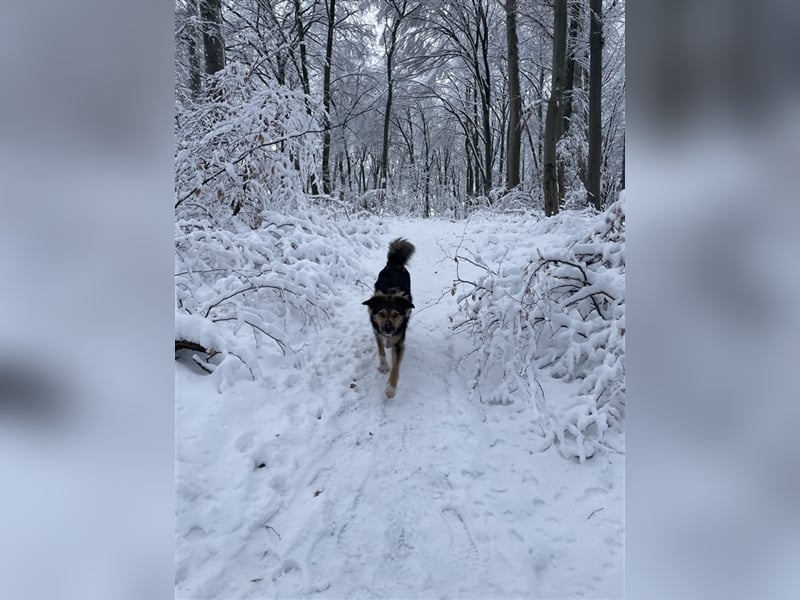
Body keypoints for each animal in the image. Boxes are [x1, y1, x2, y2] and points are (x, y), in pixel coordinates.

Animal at [360, 239, 416, 398]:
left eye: (396, 315)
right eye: (381, 314)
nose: (388, 329)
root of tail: (395, 264)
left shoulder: (399, 341)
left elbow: (396, 366)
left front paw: (391, 387)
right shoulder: (377, 330)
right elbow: (380, 350)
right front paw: (383, 365)